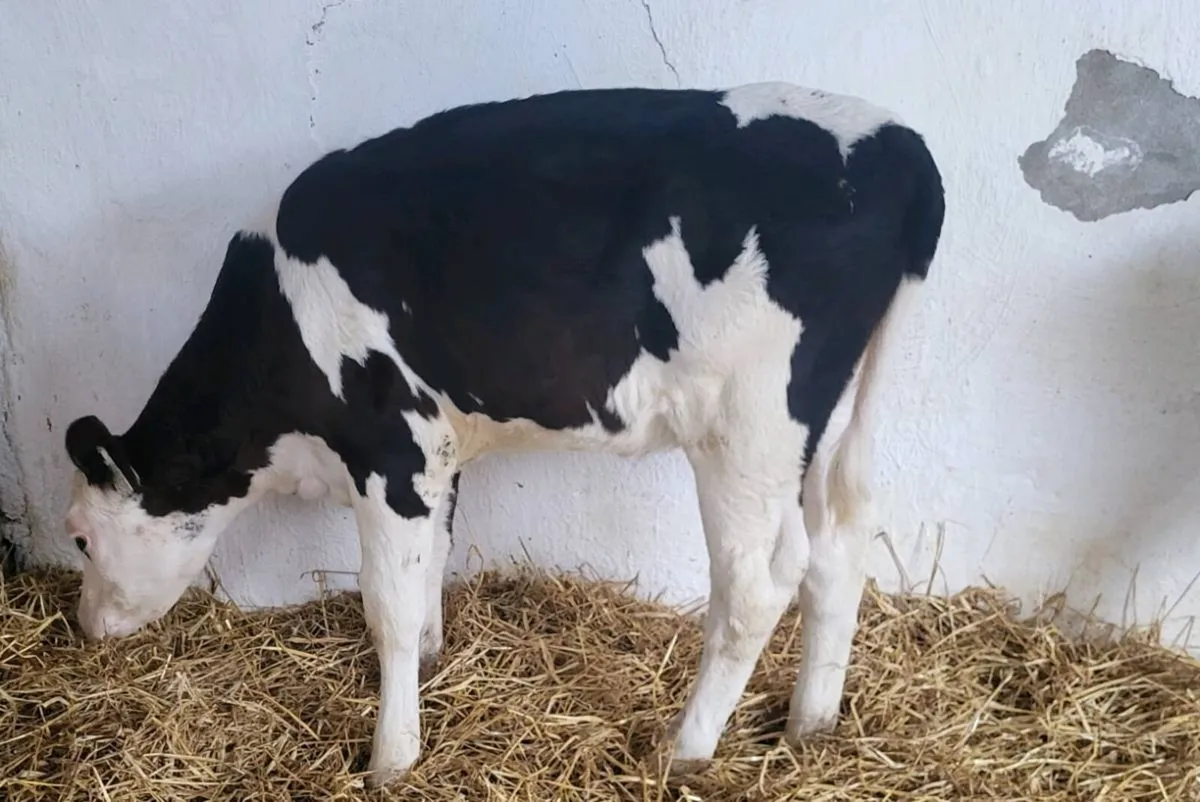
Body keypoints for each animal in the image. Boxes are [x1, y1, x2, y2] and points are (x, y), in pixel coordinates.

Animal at [62, 82, 944, 787]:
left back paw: (685, 749)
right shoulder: (437, 451)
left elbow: (385, 603)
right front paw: (431, 659)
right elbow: (431, 564)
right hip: (819, 426)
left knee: (756, 588)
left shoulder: (389, 450)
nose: (84, 627)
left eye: (78, 537)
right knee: (840, 544)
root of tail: (897, 140)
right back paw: (811, 726)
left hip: (749, 428)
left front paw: (391, 758)